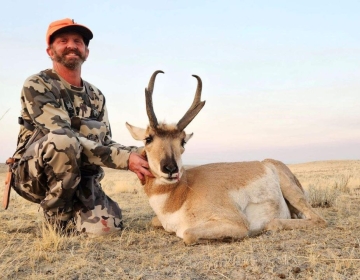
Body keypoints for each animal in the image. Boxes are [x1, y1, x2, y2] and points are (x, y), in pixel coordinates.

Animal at [126, 70, 326, 245]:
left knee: (317, 220)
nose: (170, 169)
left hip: (291, 191)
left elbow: (188, 234)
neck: (183, 192)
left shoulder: (235, 222)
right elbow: (154, 221)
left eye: (182, 141)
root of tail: (268, 163)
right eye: (148, 138)